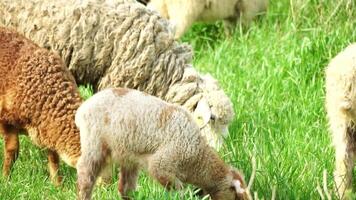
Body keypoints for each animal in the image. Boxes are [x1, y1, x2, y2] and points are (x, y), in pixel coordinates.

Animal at [0, 27, 82, 184]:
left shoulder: (47, 129)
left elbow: (53, 158)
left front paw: (57, 184)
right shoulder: (5, 119)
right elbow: (12, 150)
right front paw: (5, 179)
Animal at [75, 87, 253, 200]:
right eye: (237, 196)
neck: (197, 157)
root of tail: (82, 109)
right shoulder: (161, 164)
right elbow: (178, 190)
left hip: (127, 155)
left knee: (125, 188)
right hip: (95, 144)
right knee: (85, 175)